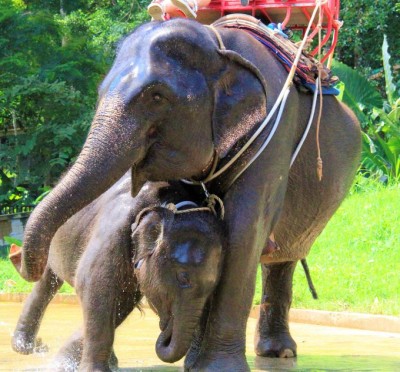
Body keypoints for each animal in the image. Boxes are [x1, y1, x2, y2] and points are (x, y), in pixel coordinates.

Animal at [10, 175, 223, 372]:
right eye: (182, 277)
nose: (165, 327)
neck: (170, 205)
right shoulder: (115, 226)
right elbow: (95, 286)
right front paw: (62, 366)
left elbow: (122, 299)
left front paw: (66, 363)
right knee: (47, 280)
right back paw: (26, 347)